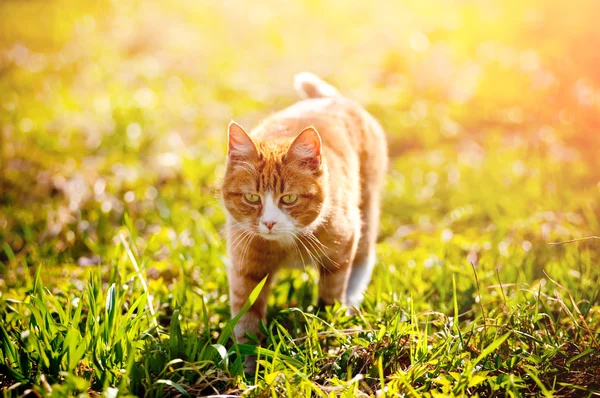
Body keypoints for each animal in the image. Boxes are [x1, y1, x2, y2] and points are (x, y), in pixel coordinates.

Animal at [221, 71, 390, 364]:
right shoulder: (246, 265)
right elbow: (246, 315)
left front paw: (329, 332)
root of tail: (332, 99)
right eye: (252, 198)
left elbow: (331, 294)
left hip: (366, 209)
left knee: (364, 256)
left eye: (288, 198)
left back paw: (353, 299)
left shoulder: (341, 248)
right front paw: (247, 363)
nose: (269, 223)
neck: (286, 244)